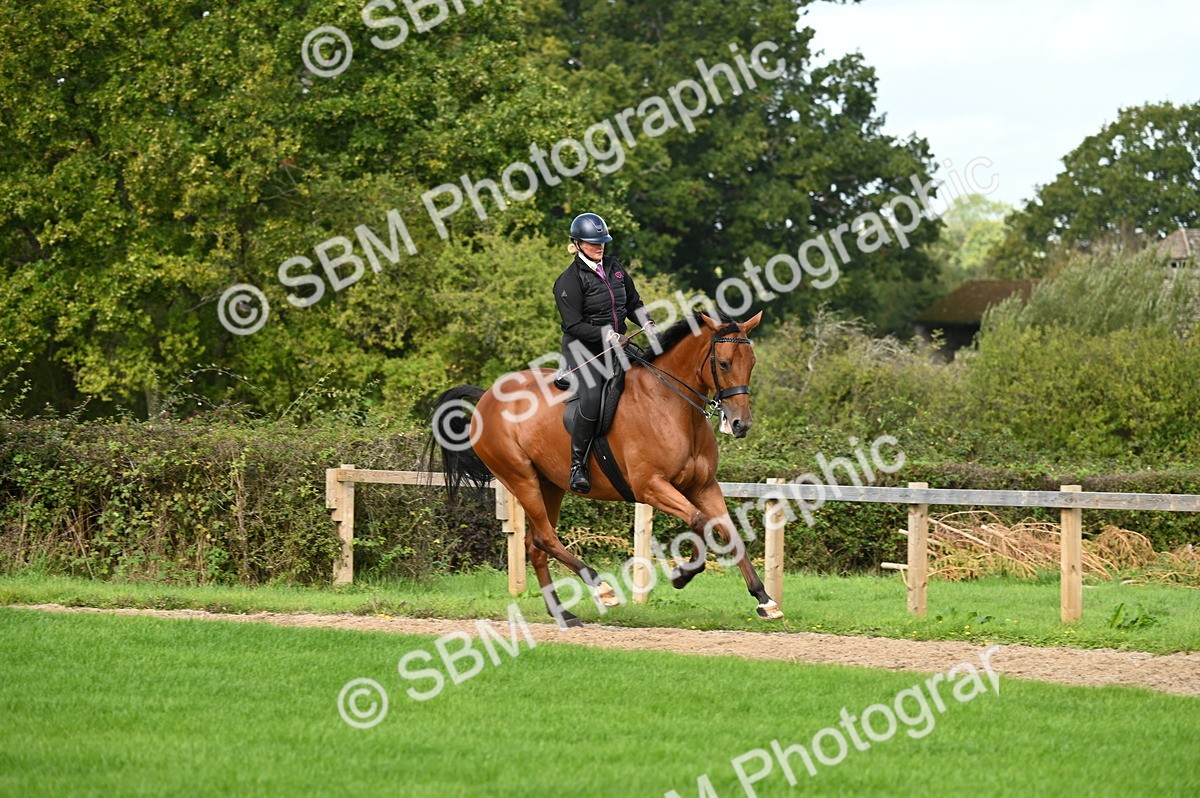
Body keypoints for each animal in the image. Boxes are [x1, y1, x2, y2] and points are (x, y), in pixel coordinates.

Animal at [427, 311, 783, 626]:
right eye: (723, 363)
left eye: (751, 362)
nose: (740, 424)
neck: (670, 404)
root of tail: (487, 397)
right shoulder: (651, 487)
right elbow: (699, 523)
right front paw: (682, 575)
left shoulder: (704, 487)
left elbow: (730, 533)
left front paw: (764, 600)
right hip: (521, 478)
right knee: (547, 538)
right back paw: (602, 589)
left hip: (550, 485)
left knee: (535, 544)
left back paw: (562, 614)